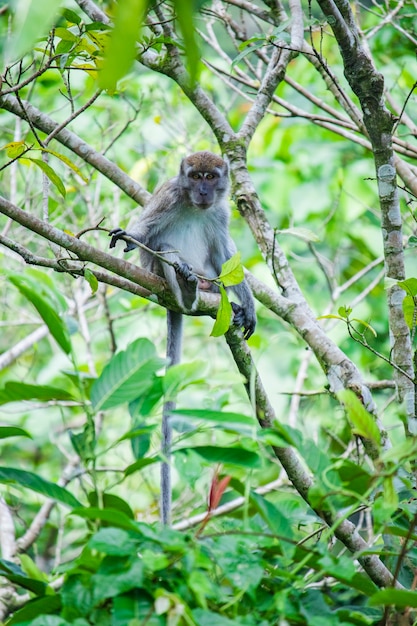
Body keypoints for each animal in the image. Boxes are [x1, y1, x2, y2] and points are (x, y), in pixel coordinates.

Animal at [109, 150, 255, 520]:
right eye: (196, 177)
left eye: (211, 177)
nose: (203, 191)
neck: (193, 205)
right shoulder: (170, 198)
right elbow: (146, 232)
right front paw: (127, 234)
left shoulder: (219, 212)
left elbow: (225, 256)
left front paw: (249, 305)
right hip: (154, 271)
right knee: (165, 250)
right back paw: (186, 289)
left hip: (209, 279)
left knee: (215, 270)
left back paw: (218, 297)